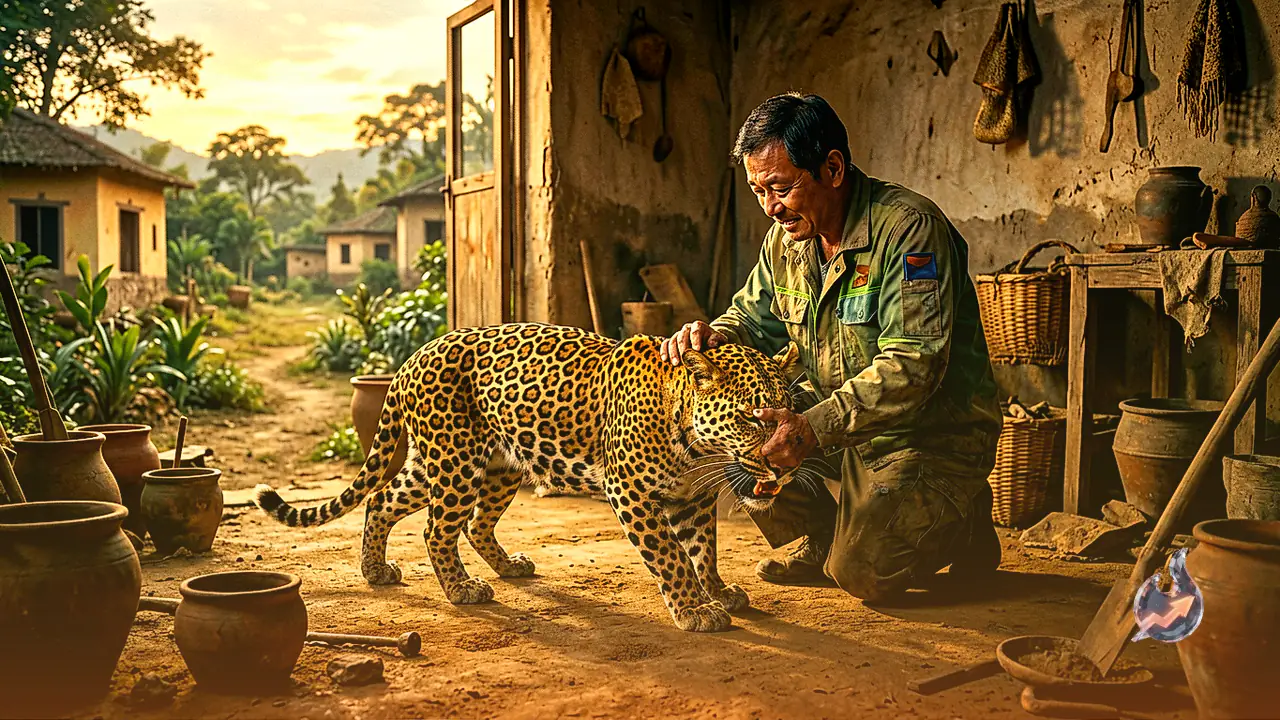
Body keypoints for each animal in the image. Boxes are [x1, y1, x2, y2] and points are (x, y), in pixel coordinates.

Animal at [254, 322, 801, 632]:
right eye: (752, 418)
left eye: (788, 411)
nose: (785, 465)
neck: (698, 447)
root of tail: (412, 358)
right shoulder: (630, 492)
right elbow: (671, 557)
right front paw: (695, 610)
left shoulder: (693, 499)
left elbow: (703, 550)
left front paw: (717, 591)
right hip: (455, 463)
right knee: (437, 528)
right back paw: (462, 589)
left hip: (489, 466)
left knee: (396, 503)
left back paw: (383, 570)